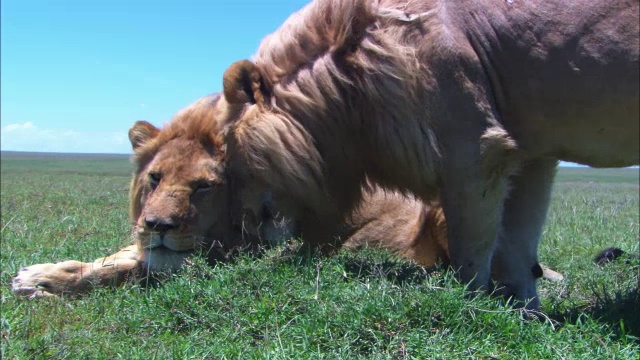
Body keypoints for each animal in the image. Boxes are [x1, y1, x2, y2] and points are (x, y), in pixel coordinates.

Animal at [12, 94, 564, 300]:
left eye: (204, 187)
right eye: (154, 178)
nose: (159, 226)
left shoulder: (249, 254)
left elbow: (139, 268)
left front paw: (46, 284)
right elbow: (115, 259)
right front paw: (44, 275)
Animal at [218, 0, 636, 310]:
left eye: (230, 158)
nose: (242, 228)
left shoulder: (476, 147)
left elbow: (474, 249)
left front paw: (471, 307)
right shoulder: (533, 154)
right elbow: (517, 246)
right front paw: (528, 314)